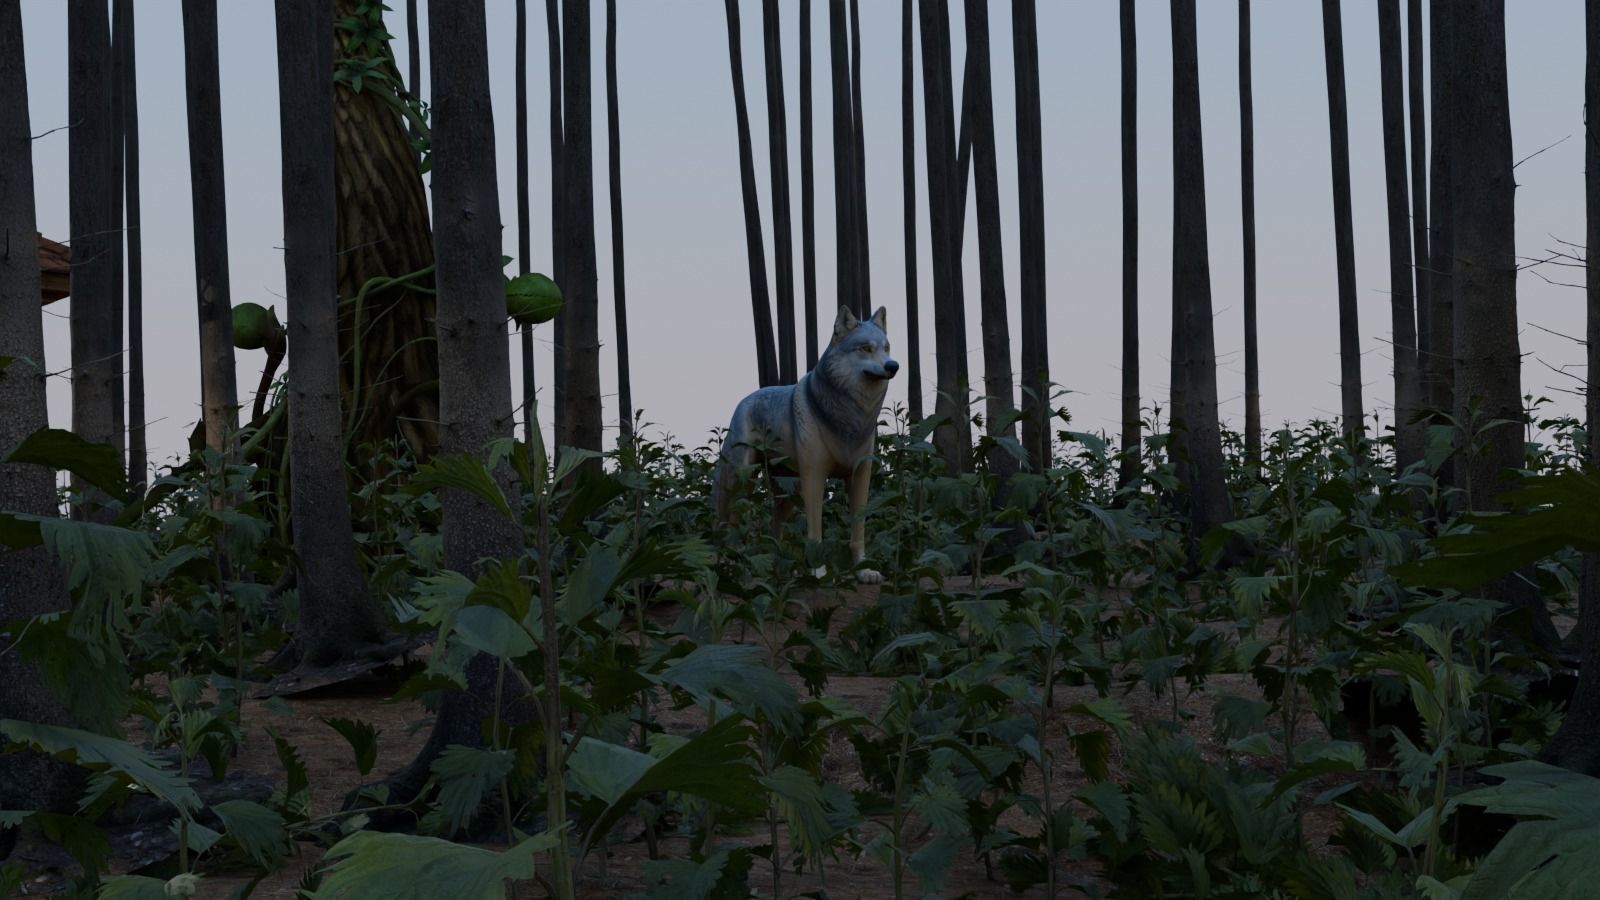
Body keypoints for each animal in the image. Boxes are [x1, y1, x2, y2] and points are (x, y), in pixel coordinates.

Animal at [713, 305, 899, 583]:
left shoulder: (860, 476)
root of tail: (747, 398)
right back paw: (727, 567)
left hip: (787, 492)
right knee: (728, 524)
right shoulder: (815, 476)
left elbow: (858, 531)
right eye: (866, 348)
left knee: (775, 529)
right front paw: (818, 571)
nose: (893, 365)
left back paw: (778, 570)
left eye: (886, 348)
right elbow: (815, 534)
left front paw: (863, 571)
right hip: (741, 481)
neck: (851, 416)